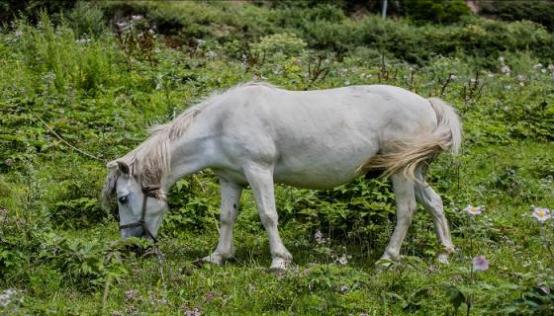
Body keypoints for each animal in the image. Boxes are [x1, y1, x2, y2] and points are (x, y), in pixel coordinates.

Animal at [101, 81, 460, 270]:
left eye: (123, 197)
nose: (130, 244)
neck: (221, 123)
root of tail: (427, 103)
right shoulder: (230, 179)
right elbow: (226, 218)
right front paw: (218, 256)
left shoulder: (258, 171)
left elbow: (268, 215)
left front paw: (279, 261)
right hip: (415, 171)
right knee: (434, 203)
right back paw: (445, 253)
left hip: (401, 173)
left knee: (406, 211)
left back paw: (387, 258)